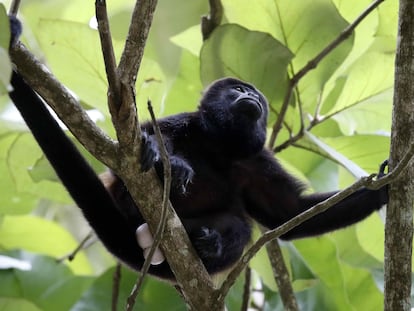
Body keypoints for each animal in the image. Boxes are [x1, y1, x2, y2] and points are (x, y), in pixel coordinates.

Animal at [7, 17, 388, 282]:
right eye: (238, 88)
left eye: (256, 96)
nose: (252, 96)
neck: (220, 145)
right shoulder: (188, 122)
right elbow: (139, 138)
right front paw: (166, 159)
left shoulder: (257, 161)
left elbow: (287, 212)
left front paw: (382, 190)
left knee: (239, 225)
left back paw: (209, 247)